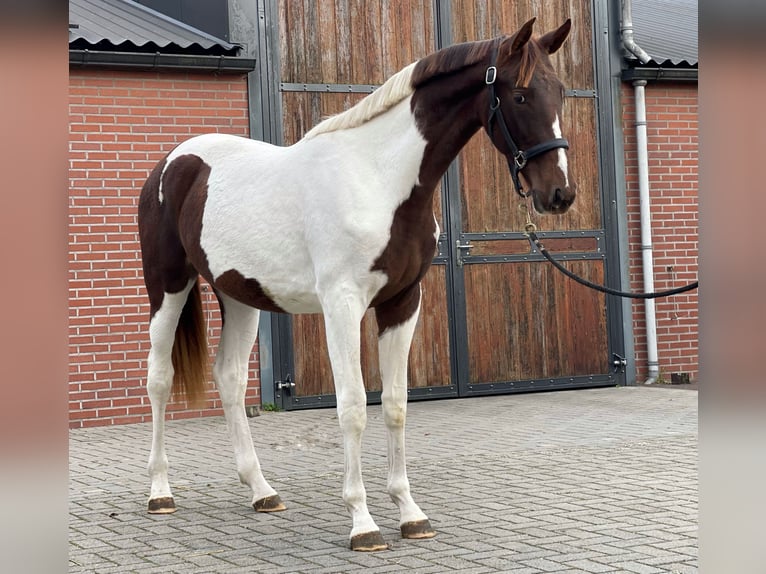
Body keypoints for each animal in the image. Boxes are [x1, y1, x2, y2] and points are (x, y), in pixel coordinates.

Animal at [138, 16, 576, 552]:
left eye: (560, 92)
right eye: (519, 95)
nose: (558, 194)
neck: (378, 180)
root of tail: (174, 162)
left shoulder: (403, 303)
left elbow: (395, 405)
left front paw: (410, 513)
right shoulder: (342, 304)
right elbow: (352, 407)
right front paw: (363, 523)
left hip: (240, 296)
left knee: (230, 377)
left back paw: (262, 491)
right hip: (168, 285)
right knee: (159, 379)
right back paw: (160, 493)